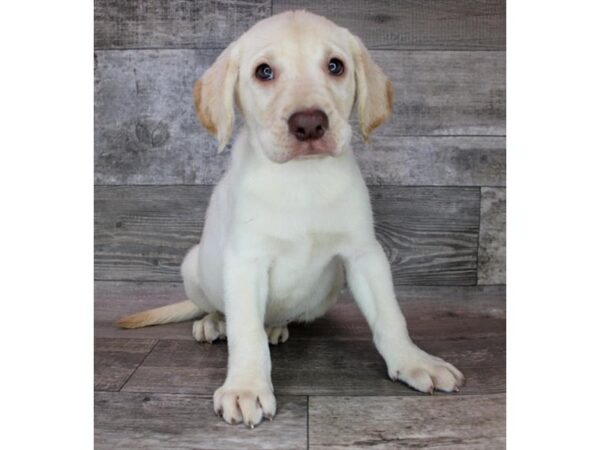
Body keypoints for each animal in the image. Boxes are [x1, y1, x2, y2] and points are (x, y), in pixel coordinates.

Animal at [118, 9, 464, 426]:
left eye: (335, 66)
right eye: (264, 72)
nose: (310, 123)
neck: (302, 178)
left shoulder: (365, 254)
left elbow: (390, 315)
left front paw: (414, 361)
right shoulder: (245, 261)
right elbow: (245, 332)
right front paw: (246, 387)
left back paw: (276, 326)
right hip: (193, 266)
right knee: (218, 309)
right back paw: (214, 322)